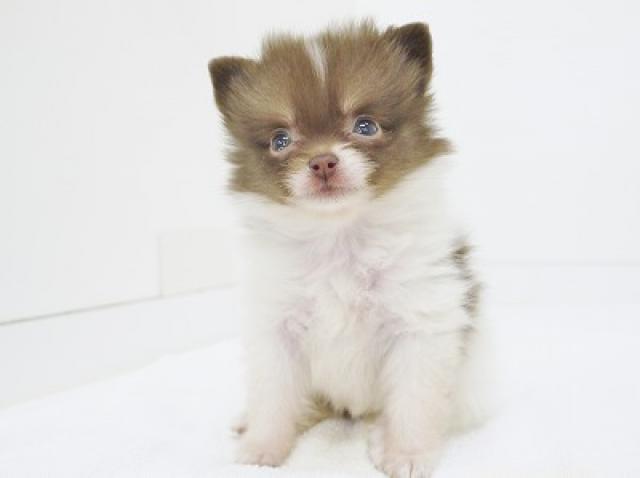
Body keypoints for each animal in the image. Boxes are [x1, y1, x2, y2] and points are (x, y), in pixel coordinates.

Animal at [208, 21, 485, 478]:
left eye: (365, 126)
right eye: (281, 140)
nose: (322, 161)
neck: (338, 237)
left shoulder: (419, 324)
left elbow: (413, 400)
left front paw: (407, 453)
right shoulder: (277, 327)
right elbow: (273, 394)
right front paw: (263, 447)